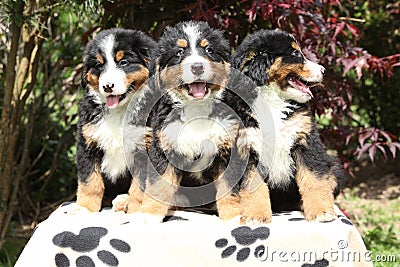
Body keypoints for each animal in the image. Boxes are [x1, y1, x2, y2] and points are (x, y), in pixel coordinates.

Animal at [76, 28, 156, 214]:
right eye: (99, 66)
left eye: (124, 62)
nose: (107, 86)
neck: (119, 111)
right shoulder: (88, 144)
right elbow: (90, 182)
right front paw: (84, 209)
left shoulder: (144, 148)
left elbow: (139, 186)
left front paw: (136, 209)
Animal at [138, 21, 272, 223]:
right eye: (179, 52)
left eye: (209, 49)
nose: (197, 67)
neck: (196, 108)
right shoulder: (164, 147)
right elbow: (159, 185)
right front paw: (149, 215)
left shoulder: (228, 150)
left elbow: (227, 188)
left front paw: (232, 215)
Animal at [233, 28, 346, 222]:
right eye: (295, 54)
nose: (324, 70)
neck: (273, 101)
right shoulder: (249, 148)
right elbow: (252, 184)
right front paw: (256, 215)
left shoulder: (306, 141)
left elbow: (314, 179)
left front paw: (321, 212)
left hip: (333, 164)